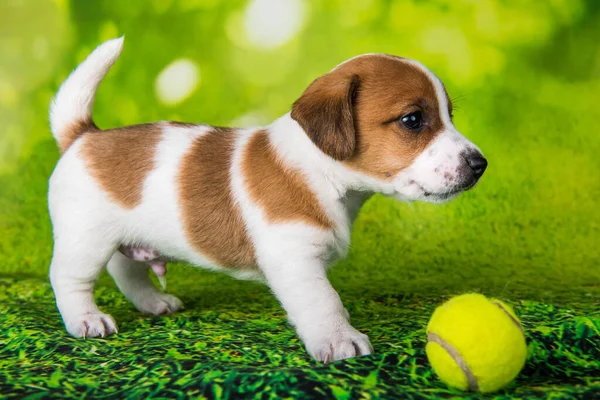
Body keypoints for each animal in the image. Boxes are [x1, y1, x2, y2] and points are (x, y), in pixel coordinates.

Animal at [47, 37, 488, 362]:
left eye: (449, 115)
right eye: (413, 120)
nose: (480, 164)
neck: (322, 173)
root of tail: (84, 135)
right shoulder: (295, 259)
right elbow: (324, 302)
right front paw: (339, 340)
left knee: (126, 271)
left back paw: (153, 302)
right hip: (86, 240)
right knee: (69, 278)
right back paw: (86, 320)